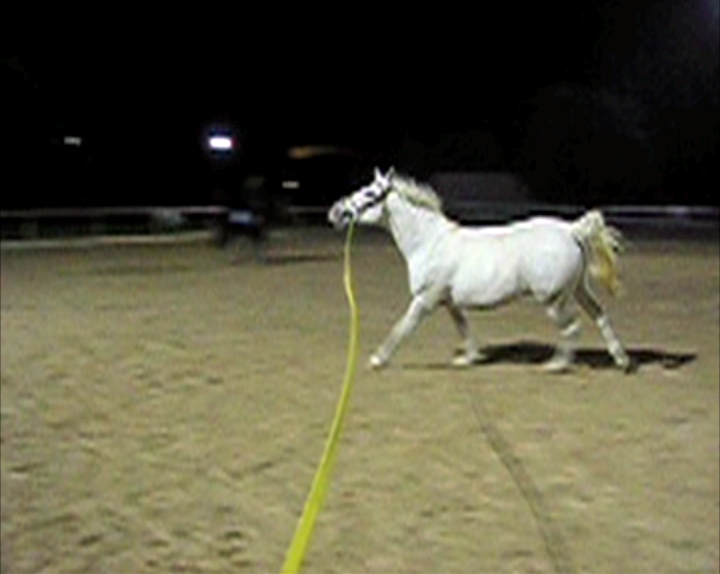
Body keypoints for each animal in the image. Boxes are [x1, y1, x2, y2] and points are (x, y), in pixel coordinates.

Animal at [328, 167, 631, 372]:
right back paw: (622, 360)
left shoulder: (425, 299)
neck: (429, 242)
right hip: (578, 289)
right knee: (599, 315)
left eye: (370, 193)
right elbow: (463, 327)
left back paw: (557, 364)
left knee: (572, 327)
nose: (336, 212)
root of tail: (571, 230)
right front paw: (469, 358)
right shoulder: (448, 301)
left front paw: (377, 359)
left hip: (554, 299)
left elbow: (402, 328)